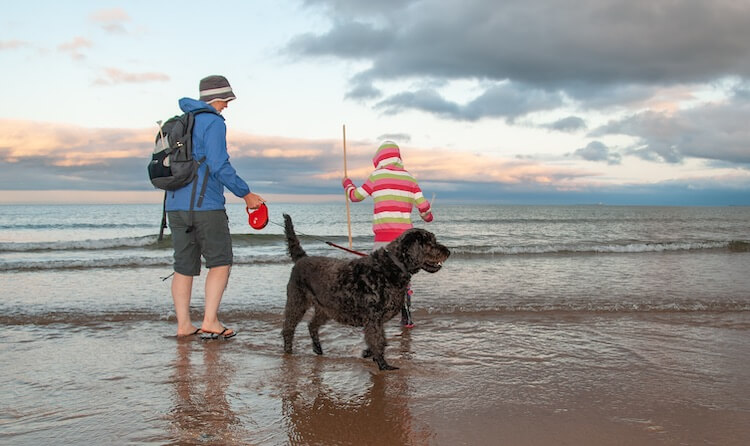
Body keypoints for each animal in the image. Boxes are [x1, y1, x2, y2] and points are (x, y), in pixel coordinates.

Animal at [280, 213, 450, 370]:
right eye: (430, 242)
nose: (448, 252)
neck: (390, 267)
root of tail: (301, 259)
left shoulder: (376, 320)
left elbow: (379, 339)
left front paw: (369, 353)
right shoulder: (373, 318)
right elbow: (377, 340)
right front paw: (383, 364)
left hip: (326, 309)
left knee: (312, 325)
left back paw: (317, 348)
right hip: (297, 303)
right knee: (288, 328)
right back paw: (288, 351)